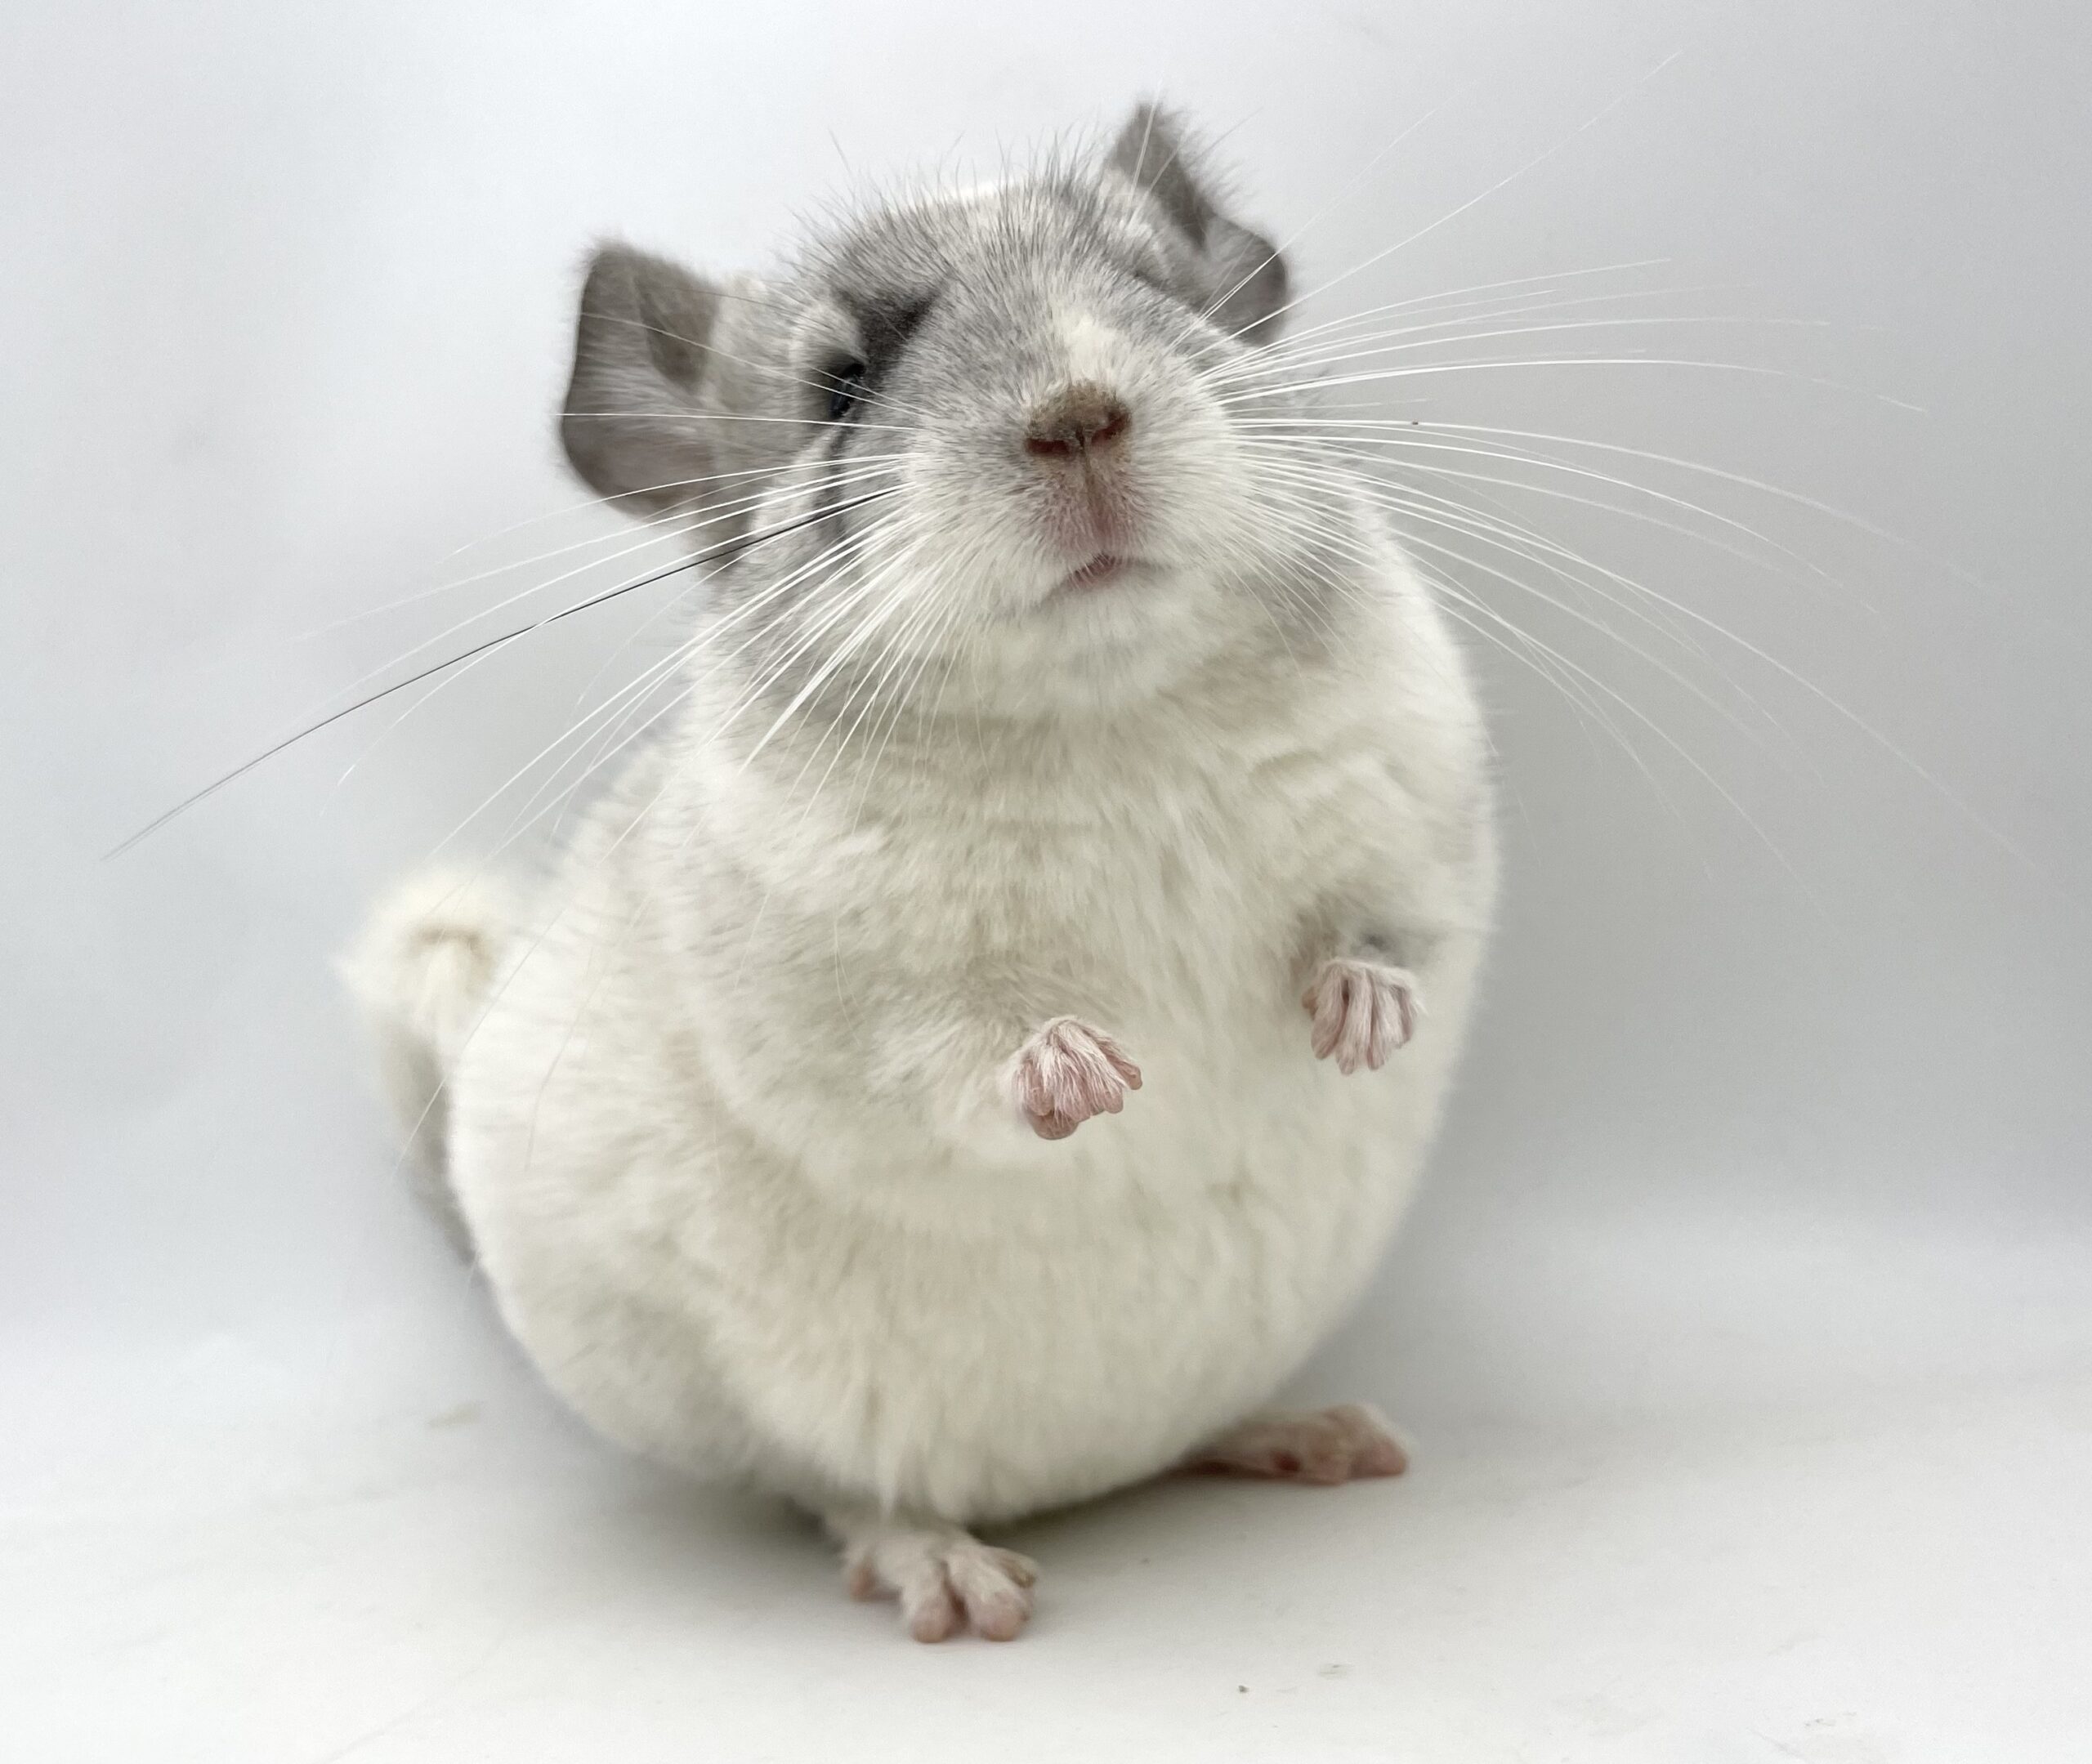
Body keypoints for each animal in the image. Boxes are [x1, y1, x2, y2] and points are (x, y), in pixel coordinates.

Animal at [345, 104, 1497, 1643]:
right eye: (839, 383)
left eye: (1165, 290)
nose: (1077, 412)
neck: (1108, 714)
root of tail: (1074, 1474)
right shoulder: (844, 1003)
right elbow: (948, 1060)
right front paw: (1076, 1068)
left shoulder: (1418, 829)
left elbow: (1389, 930)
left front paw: (1362, 1014)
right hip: (761, 1414)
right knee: (838, 1494)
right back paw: (951, 1570)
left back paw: (1313, 1434)